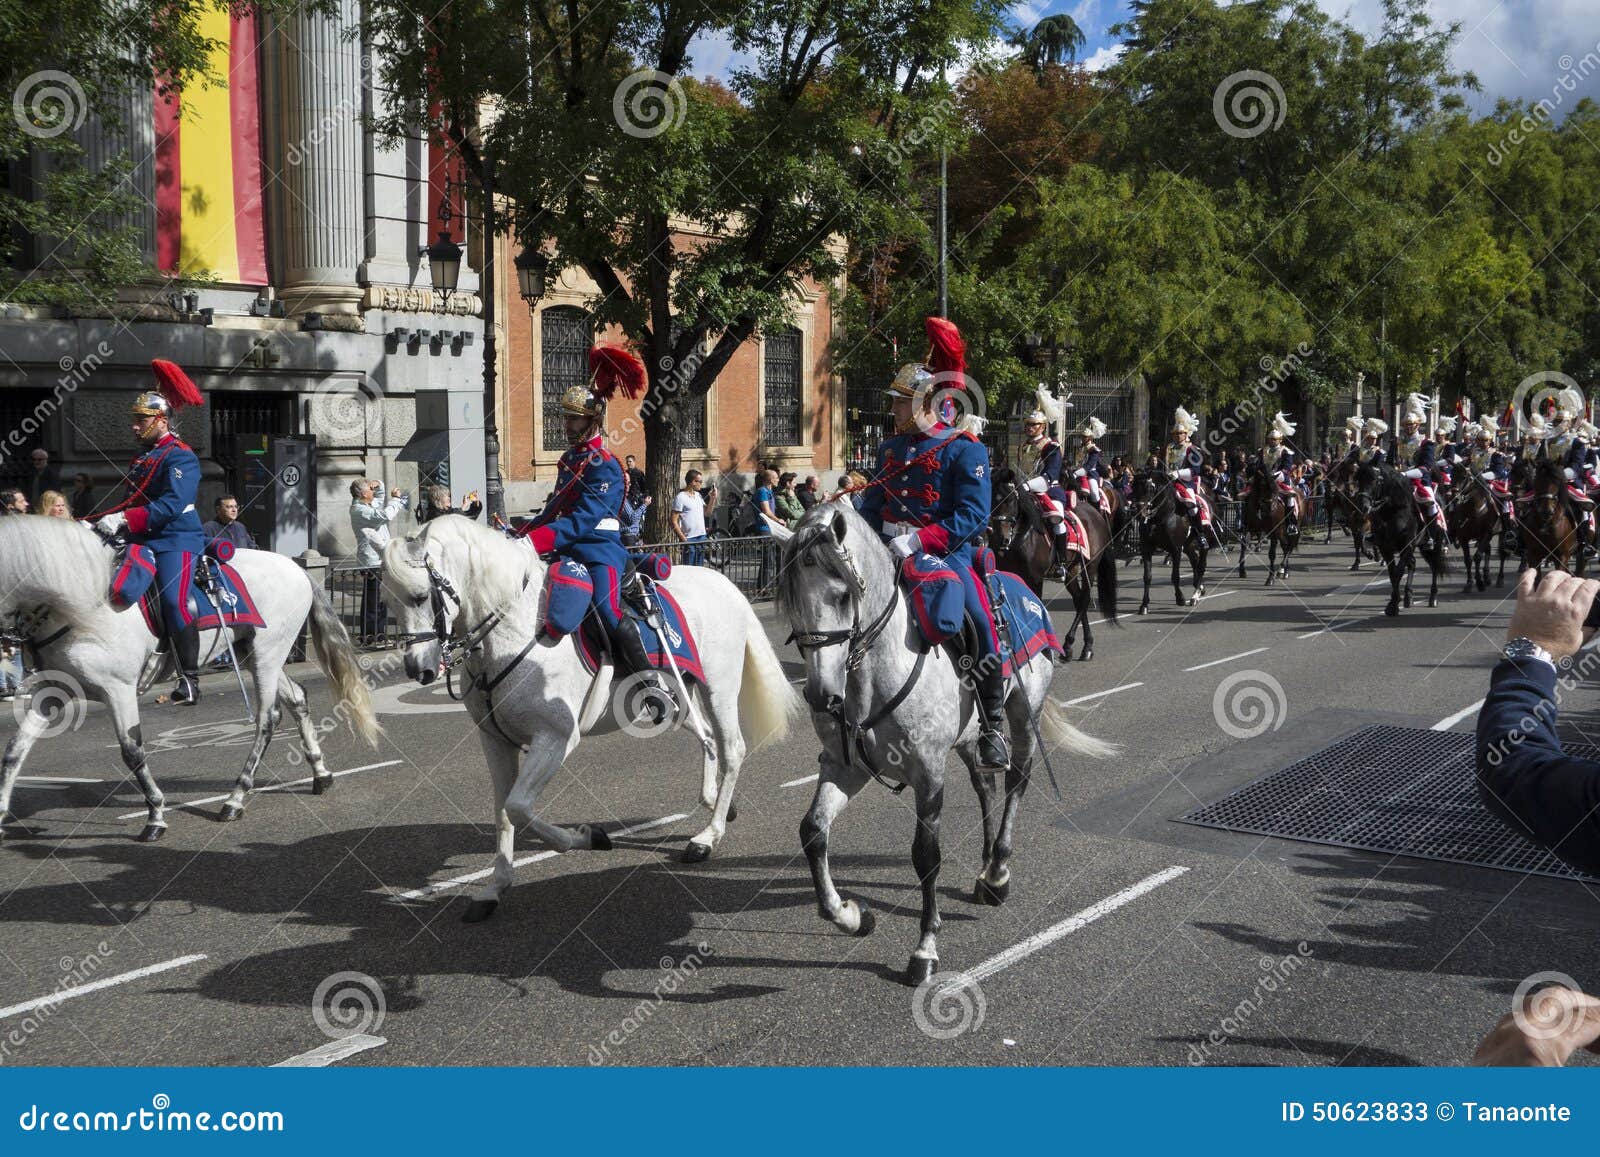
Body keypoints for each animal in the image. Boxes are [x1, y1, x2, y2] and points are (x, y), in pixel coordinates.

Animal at [0, 518, 380, 844]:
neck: (78, 601)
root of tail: (297, 568)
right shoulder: (52, 692)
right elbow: (14, 751)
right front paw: (2, 815)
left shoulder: (118, 689)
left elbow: (132, 751)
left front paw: (155, 814)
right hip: (252, 653)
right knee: (297, 699)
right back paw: (320, 773)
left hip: (268, 654)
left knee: (267, 720)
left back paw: (235, 798)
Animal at [376, 515, 800, 921]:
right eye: (388, 603)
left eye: (419, 596)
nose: (418, 669)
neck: (513, 629)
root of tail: (726, 585)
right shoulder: (494, 740)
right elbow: (503, 811)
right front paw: (494, 887)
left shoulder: (555, 737)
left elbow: (519, 807)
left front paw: (586, 837)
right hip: (683, 693)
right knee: (709, 738)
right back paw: (716, 803)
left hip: (719, 687)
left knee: (732, 748)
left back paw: (708, 836)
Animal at [764, 505, 1113, 985]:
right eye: (793, 600)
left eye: (841, 595)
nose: (820, 694)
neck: (872, 673)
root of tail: (1025, 591)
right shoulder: (843, 765)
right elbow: (813, 832)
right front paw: (851, 914)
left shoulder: (928, 771)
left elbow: (926, 855)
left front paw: (925, 948)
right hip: (969, 740)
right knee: (986, 786)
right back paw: (985, 866)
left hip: (1025, 713)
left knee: (1016, 782)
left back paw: (998, 871)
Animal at [1126, 467, 1209, 614]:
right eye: (1133, 486)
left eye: (1148, 487)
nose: (1136, 511)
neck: (1159, 517)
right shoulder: (1146, 549)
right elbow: (1147, 577)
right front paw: (1144, 605)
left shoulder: (1176, 550)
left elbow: (1175, 576)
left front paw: (1180, 598)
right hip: (1188, 545)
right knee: (1194, 561)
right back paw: (1199, 589)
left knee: (1201, 565)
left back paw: (1195, 596)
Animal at [1350, 460, 1452, 614]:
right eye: (1358, 479)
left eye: (1374, 479)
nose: (1363, 506)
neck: (1393, 511)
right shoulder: (1386, 548)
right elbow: (1393, 574)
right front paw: (1395, 601)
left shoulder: (1407, 545)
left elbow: (1398, 572)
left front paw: (1393, 605)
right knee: (1413, 564)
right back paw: (1408, 596)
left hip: (1433, 543)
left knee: (1434, 565)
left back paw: (1433, 597)